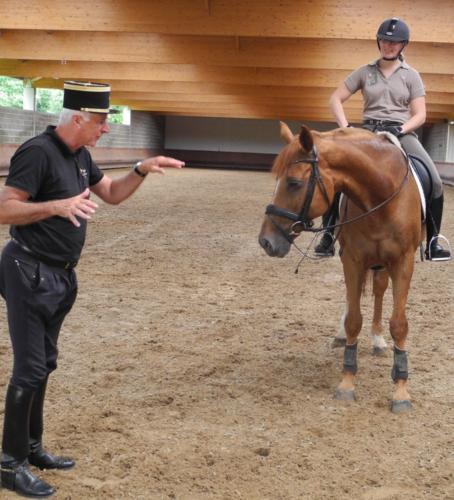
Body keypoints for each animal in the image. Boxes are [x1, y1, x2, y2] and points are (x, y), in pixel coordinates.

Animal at [258, 123, 422, 412]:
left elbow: (399, 324)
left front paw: (401, 390)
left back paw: (378, 340)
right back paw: (343, 334)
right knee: (353, 299)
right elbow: (354, 319)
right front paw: (347, 382)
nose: (266, 241)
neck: (381, 195)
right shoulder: (353, 260)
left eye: (294, 183)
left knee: (379, 291)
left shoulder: (404, 262)